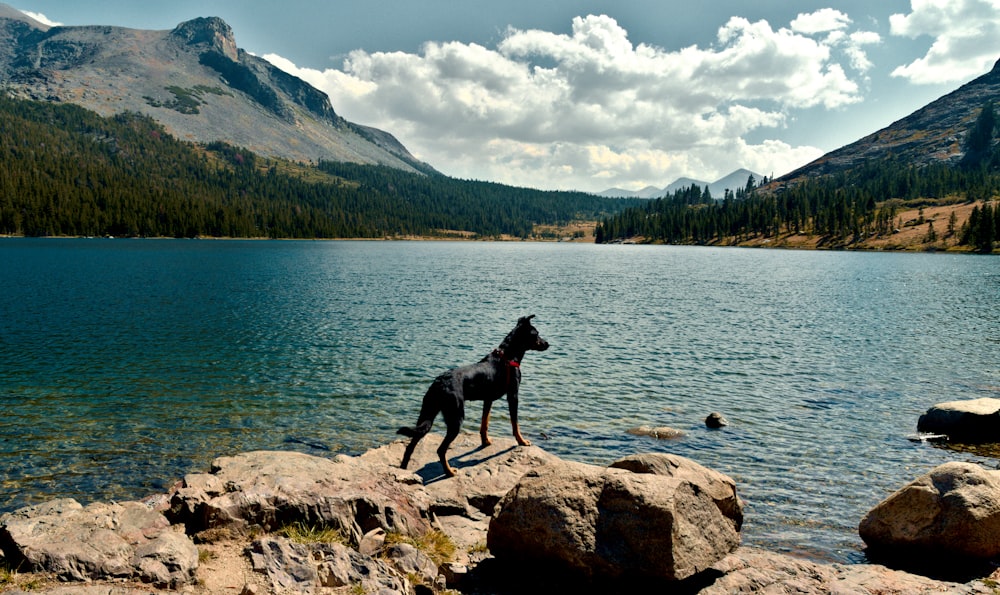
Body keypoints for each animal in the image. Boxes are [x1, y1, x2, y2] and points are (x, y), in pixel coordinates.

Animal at [396, 314, 548, 478]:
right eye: (536, 334)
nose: (548, 344)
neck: (508, 355)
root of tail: (439, 383)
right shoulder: (513, 395)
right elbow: (515, 423)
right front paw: (522, 441)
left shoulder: (488, 399)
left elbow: (484, 424)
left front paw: (485, 441)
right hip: (456, 418)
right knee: (440, 449)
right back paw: (449, 472)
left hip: (427, 414)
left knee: (411, 444)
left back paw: (403, 471)